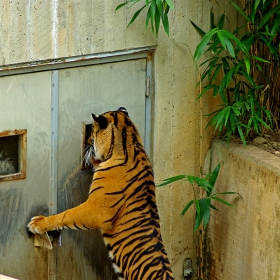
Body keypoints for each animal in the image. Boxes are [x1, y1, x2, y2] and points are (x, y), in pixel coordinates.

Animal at [27, 107, 174, 280]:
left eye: (91, 134)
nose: (87, 144)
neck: (131, 143)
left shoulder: (98, 210)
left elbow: (66, 215)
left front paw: (38, 223)